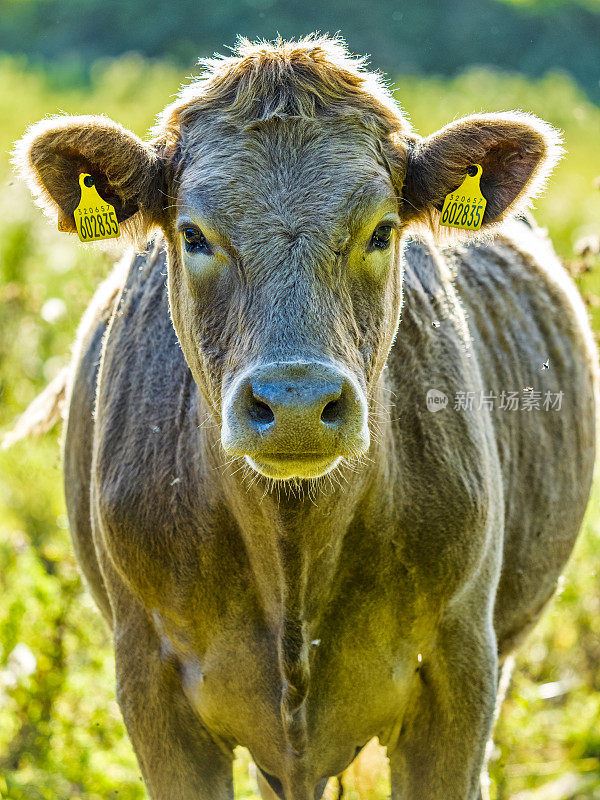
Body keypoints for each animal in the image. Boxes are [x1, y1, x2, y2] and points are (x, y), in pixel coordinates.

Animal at [11, 36, 596, 800]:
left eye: (382, 230)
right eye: (193, 235)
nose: (295, 405)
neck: (292, 551)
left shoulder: (463, 672)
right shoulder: (151, 683)